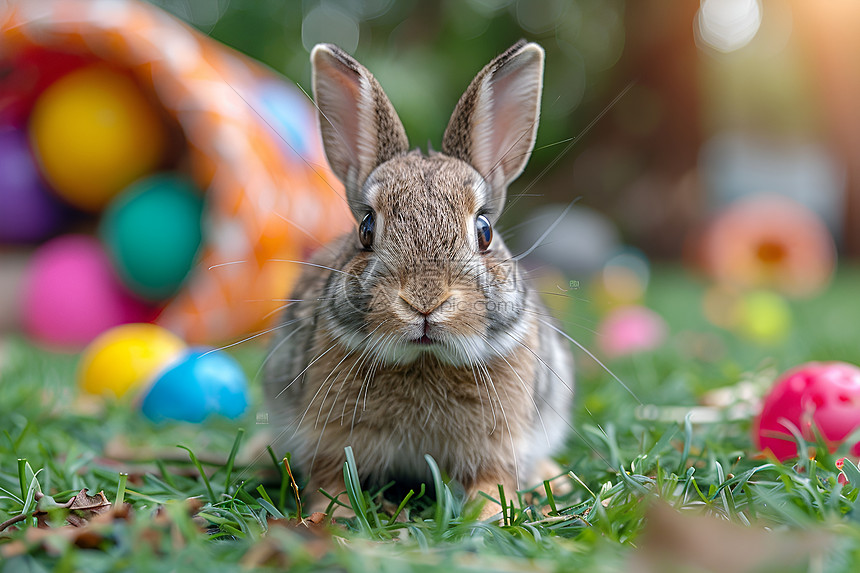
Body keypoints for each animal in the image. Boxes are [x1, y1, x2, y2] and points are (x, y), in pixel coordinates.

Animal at [262, 40, 572, 520]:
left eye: (484, 231)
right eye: (366, 229)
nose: (425, 301)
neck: (425, 360)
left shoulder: (497, 444)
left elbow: (494, 485)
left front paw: (489, 517)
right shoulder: (331, 440)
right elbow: (332, 485)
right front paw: (329, 519)